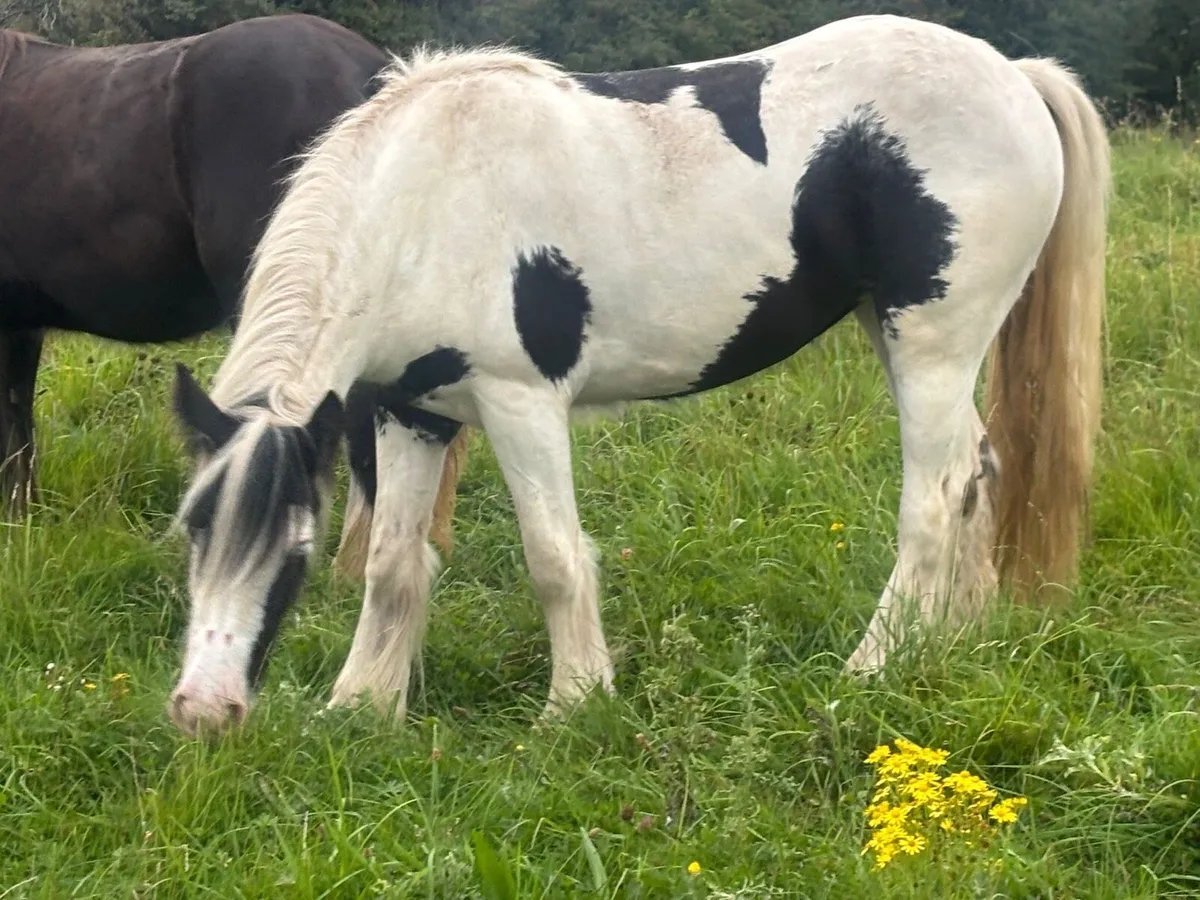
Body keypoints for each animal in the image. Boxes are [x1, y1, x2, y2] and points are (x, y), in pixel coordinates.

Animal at [164, 13, 1110, 737]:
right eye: (194, 531)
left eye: (295, 544)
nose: (203, 713)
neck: (423, 199)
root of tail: (1014, 75)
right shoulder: (412, 411)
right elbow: (395, 561)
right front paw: (362, 709)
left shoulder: (520, 402)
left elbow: (553, 557)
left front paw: (575, 706)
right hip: (905, 333)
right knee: (981, 471)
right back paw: (954, 646)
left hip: (932, 342)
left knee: (937, 497)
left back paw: (871, 667)